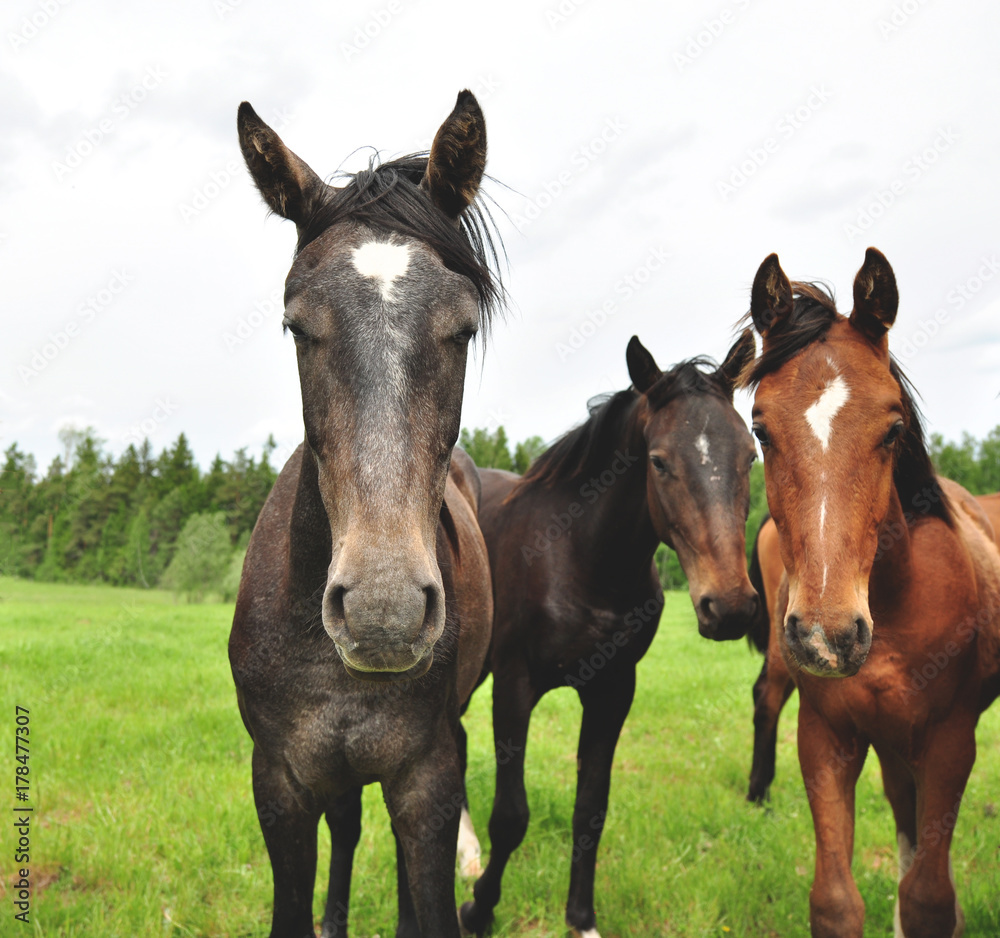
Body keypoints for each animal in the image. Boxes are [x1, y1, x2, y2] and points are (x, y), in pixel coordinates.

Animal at [458, 333, 761, 938]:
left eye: (749, 455)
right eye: (659, 461)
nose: (730, 607)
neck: (580, 558)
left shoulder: (613, 690)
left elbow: (591, 809)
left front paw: (581, 918)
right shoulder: (515, 685)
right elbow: (511, 815)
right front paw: (478, 910)